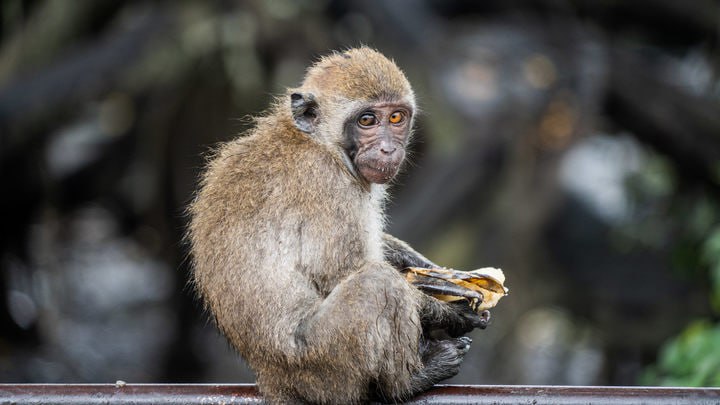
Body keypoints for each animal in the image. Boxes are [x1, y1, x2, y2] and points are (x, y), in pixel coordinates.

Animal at [188, 46, 486, 400]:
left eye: (396, 118)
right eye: (367, 120)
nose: (388, 148)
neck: (321, 143)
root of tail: (272, 377)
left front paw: (431, 270)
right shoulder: (326, 183)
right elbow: (340, 271)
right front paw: (449, 312)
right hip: (323, 365)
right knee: (377, 284)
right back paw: (407, 382)